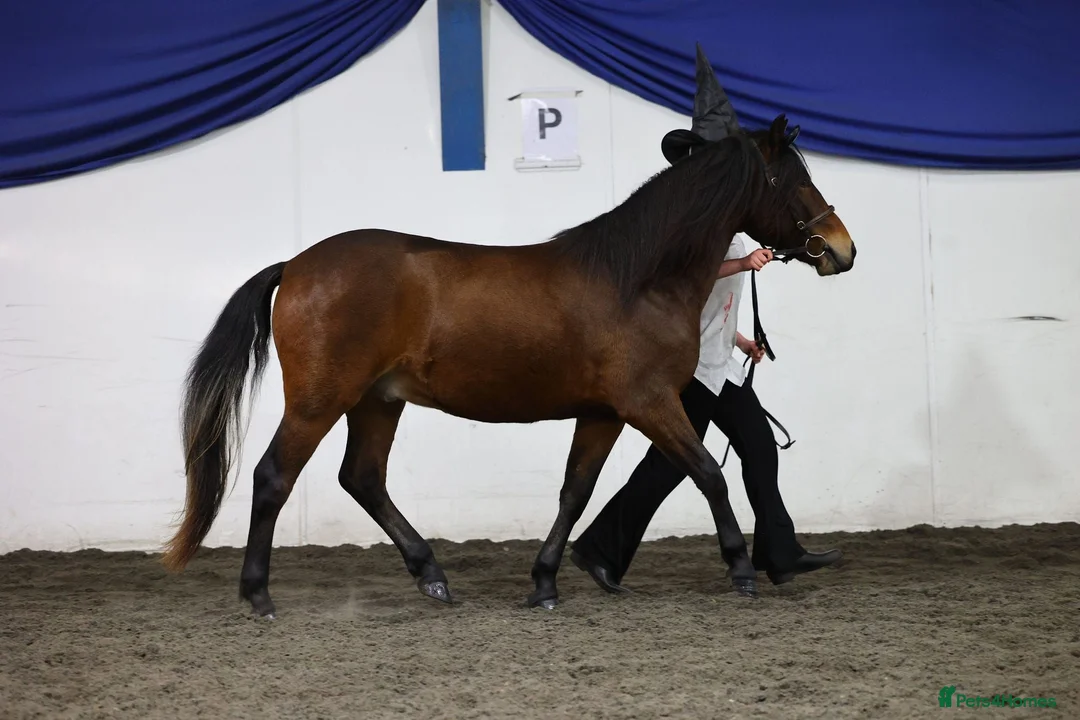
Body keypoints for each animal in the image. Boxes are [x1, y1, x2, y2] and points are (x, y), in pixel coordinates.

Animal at [161, 114, 856, 618]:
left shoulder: (603, 413)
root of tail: (297, 264)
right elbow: (709, 473)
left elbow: (576, 492)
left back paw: (432, 577)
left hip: (378, 400)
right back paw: (258, 595)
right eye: (791, 180)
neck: (637, 279)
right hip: (320, 399)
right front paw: (741, 570)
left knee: (362, 478)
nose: (841, 249)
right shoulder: (650, 403)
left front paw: (545, 583)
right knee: (274, 476)